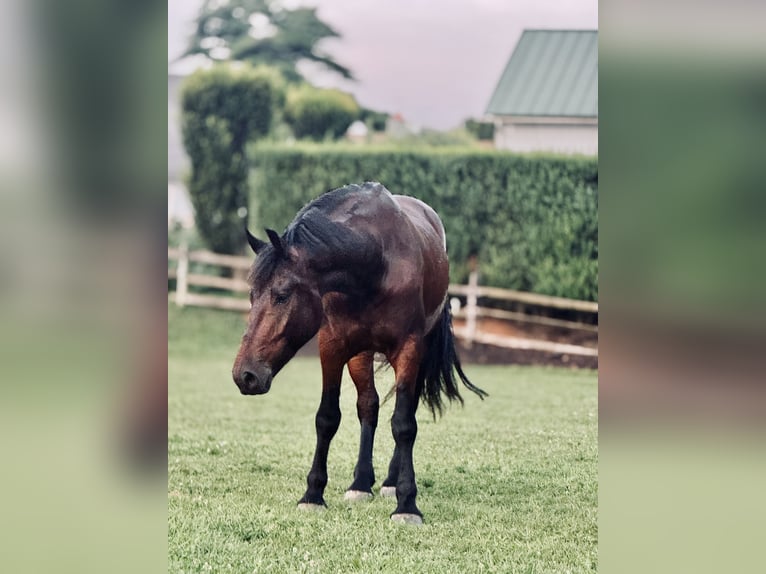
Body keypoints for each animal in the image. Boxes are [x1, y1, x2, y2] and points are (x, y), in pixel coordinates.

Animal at [232, 182, 487, 524]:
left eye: (282, 295)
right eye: (252, 294)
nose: (244, 375)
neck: (374, 262)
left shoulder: (409, 348)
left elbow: (404, 424)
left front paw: (407, 504)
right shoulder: (332, 347)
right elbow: (327, 418)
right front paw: (313, 494)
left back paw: (390, 481)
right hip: (360, 355)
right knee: (369, 406)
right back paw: (361, 482)